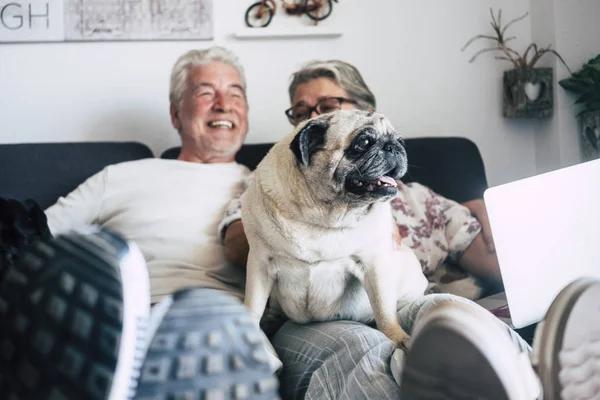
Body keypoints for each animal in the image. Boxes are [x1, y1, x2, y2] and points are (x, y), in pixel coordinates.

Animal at [241, 109, 428, 350]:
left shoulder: (374, 264)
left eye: (401, 141)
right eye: (363, 142)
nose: (394, 147)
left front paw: (397, 337)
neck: (322, 215)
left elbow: (384, 309)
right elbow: (253, 303)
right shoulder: (261, 262)